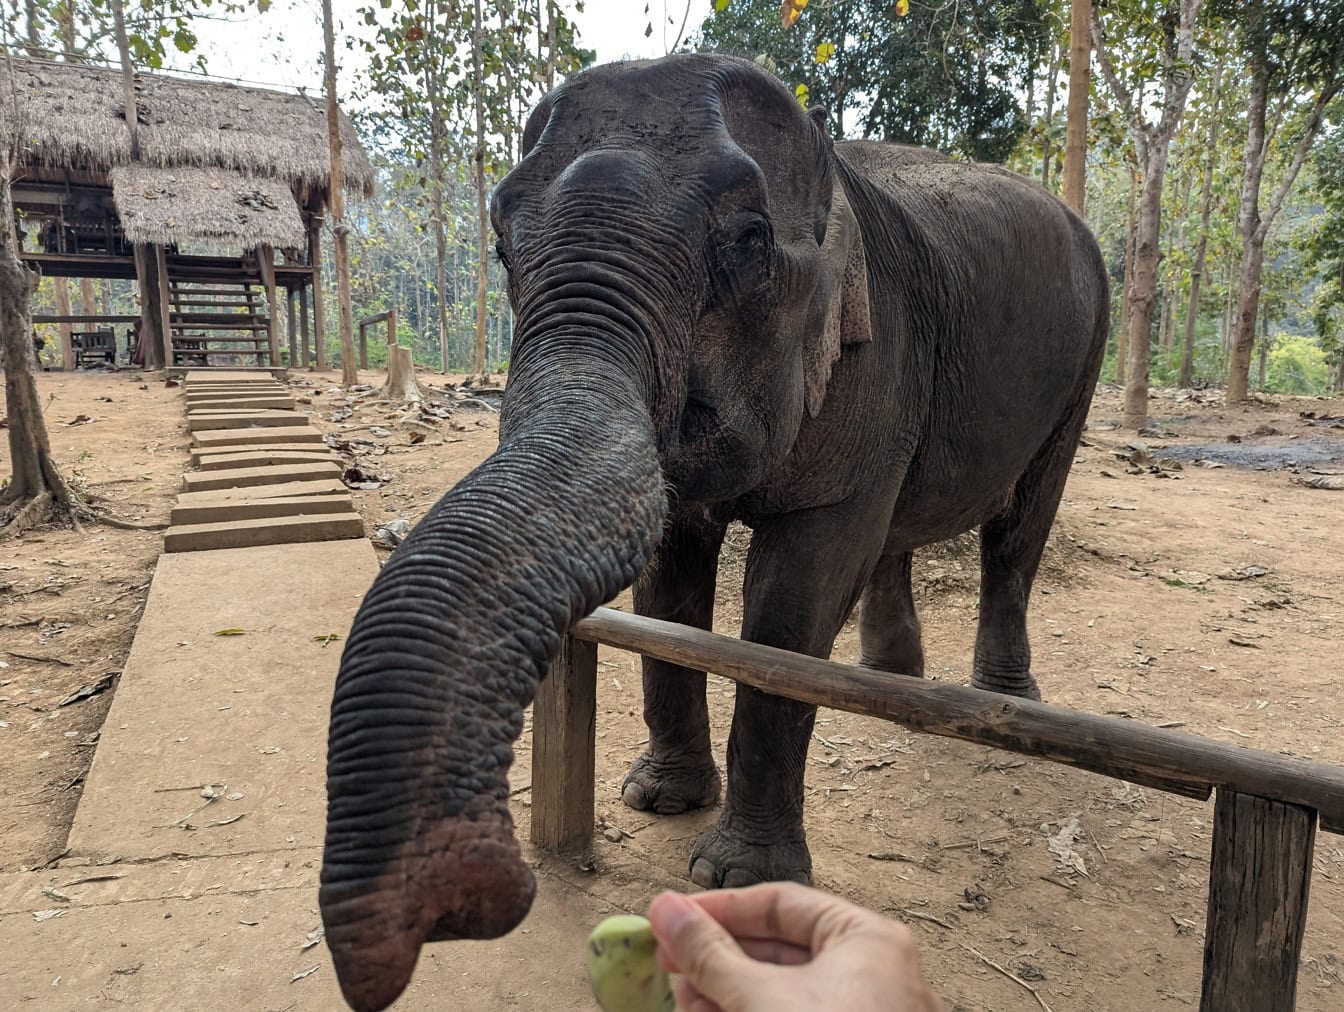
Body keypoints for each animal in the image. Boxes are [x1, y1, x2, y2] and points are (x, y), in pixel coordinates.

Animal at [314, 55, 1102, 1010]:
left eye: (749, 241)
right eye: (502, 247)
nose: (484, 888)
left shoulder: (878, 360)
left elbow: (795, 598)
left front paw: (735, 876)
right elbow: (671, 576)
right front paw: (657, 801)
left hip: (1085, 362)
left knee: (1021, 526)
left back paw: (1005, 703)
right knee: (903, 531)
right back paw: (890, 682)